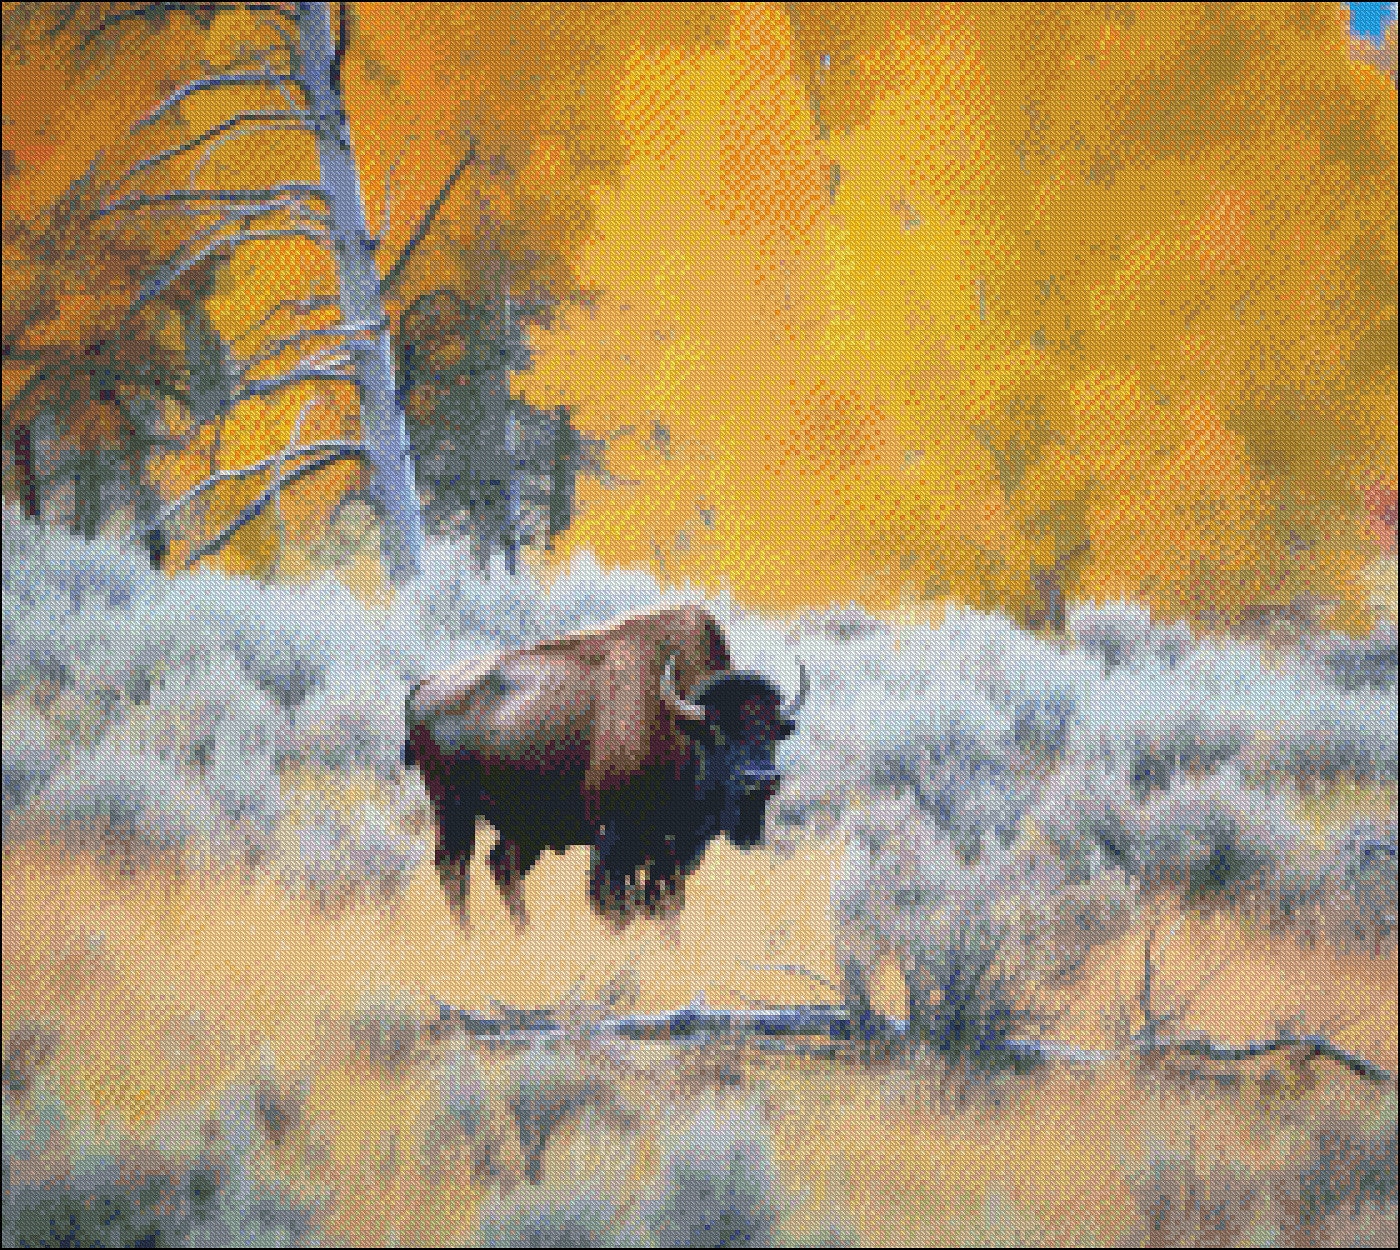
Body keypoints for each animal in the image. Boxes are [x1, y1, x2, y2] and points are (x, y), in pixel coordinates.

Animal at [402, 606, 808, 930]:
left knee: (502, 866)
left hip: (524, 826)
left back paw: (523, 934)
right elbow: (614, 905)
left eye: (774, 731)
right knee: (454, 867)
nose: (761, 780)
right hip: (453, 807)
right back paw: (467, 936)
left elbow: (664, 908)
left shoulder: (674, 853)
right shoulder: (613, 843)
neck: (677, 720)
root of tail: (423, 687)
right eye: (718, 730)